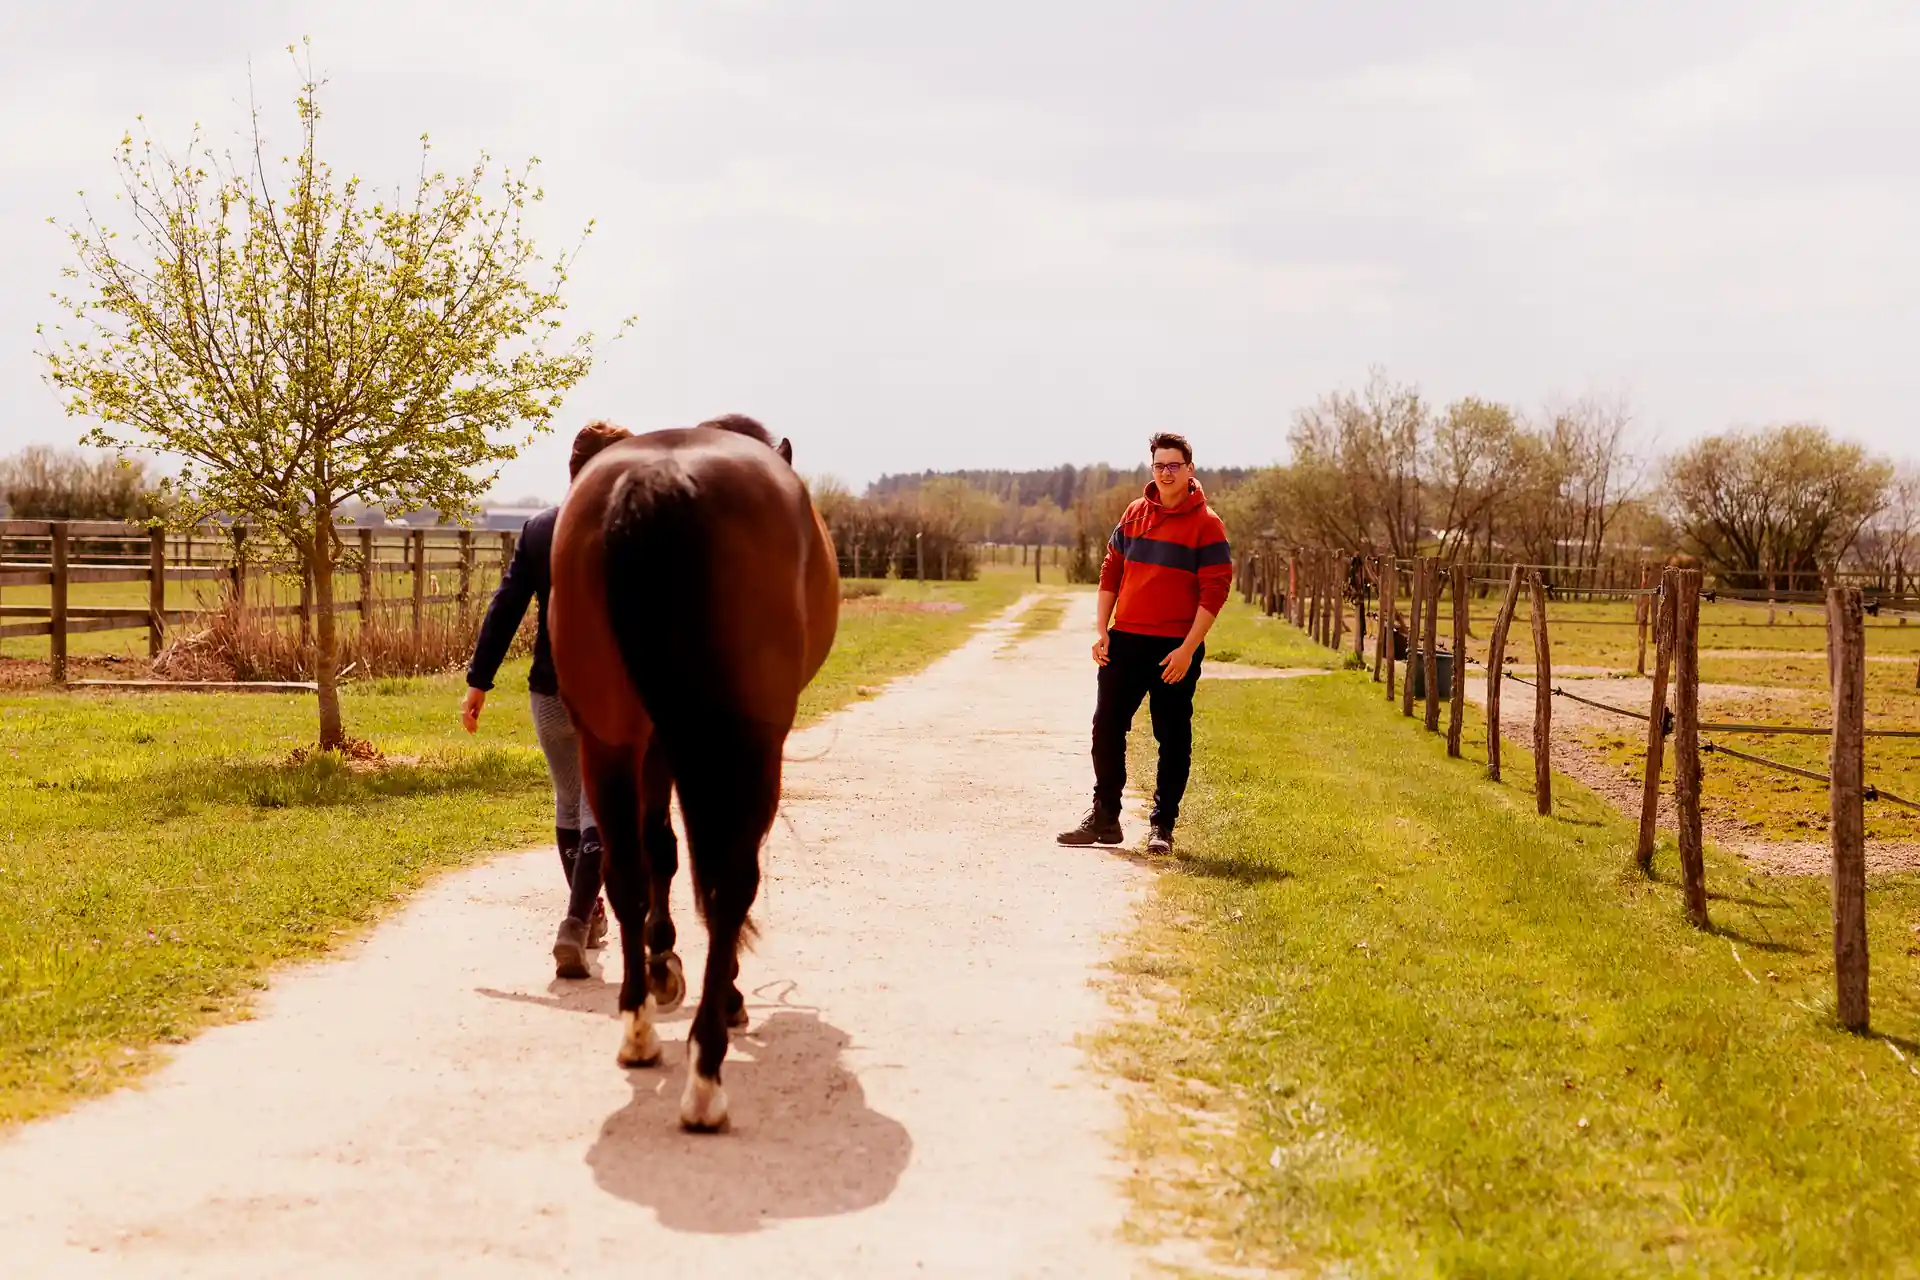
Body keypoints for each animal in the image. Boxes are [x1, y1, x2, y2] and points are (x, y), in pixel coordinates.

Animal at [548, 416, 839, 1132]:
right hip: (746, 744)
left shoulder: (652, 744)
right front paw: (721, 990)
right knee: (730, 884)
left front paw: (663, 962)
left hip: (609, 738)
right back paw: (706, 1075)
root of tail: (659, 477)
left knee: (625, 868)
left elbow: (660, 851)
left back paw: (639, 1030)